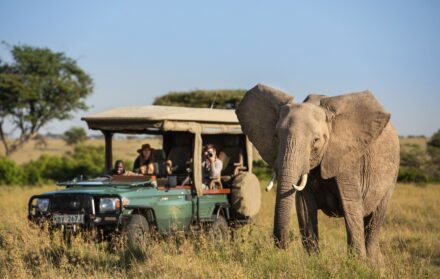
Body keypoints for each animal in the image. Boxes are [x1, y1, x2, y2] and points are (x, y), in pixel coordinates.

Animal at [235, 84, 400, 264]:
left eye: (316, 141)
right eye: (276, 136)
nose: (282, 247)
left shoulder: (349, 159)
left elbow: (351, 206)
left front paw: (357, 265)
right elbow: (305, 208)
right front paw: (313, 262)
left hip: (392, 175)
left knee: (374, 221)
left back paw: (373, 264)